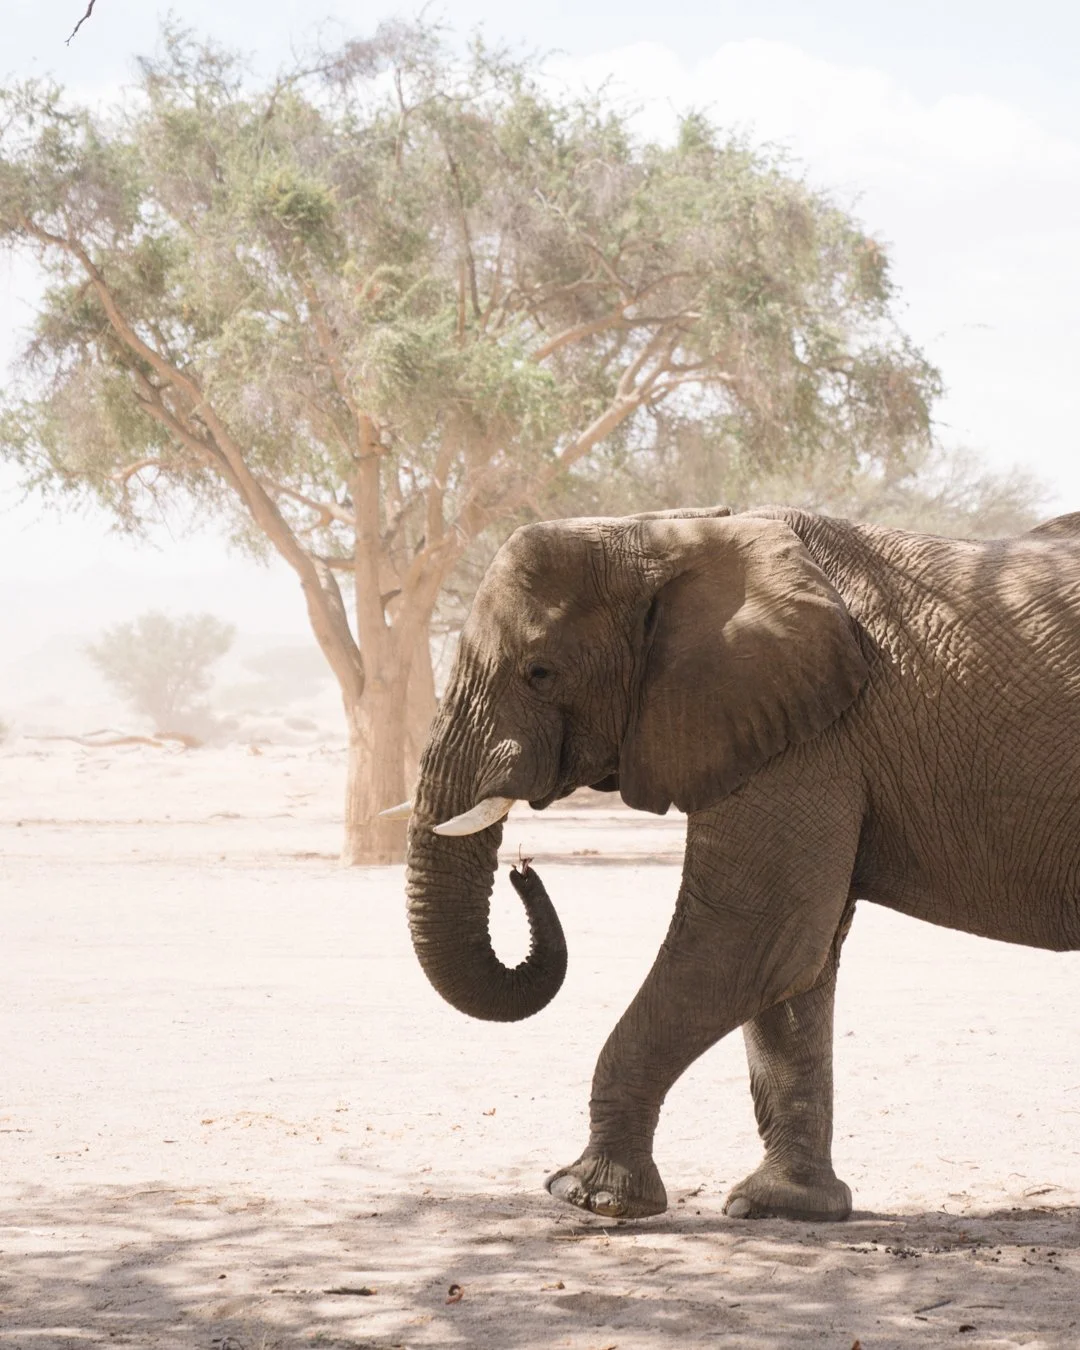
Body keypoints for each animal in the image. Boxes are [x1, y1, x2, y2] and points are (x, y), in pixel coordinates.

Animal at [395, 504, 1080, 1223]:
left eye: (540, 671)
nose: (524, 868)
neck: (671, 533)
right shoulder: (791, 725)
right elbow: (792, 965)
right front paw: (786, 1207)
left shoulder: (808, 736)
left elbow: (749, 938)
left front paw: (589, 1197)